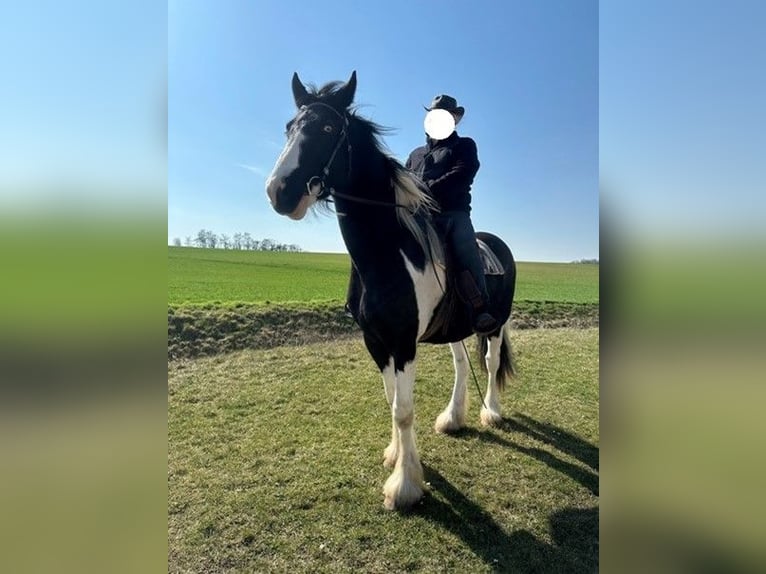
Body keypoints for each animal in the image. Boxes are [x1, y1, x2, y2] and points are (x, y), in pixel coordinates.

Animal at [266, 71, 516, 511]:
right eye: (289, 127)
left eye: (328, 128)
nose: (279, 191)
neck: (386, 254)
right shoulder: (375, 340)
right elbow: (390, 399)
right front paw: (395, 455)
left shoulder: (402, 343)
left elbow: (403, 408)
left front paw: (405, 485)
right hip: (456, 328)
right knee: (461, 365)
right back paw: (452, 418)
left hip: (496, 323)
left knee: (489, 361)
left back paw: (492, 413)